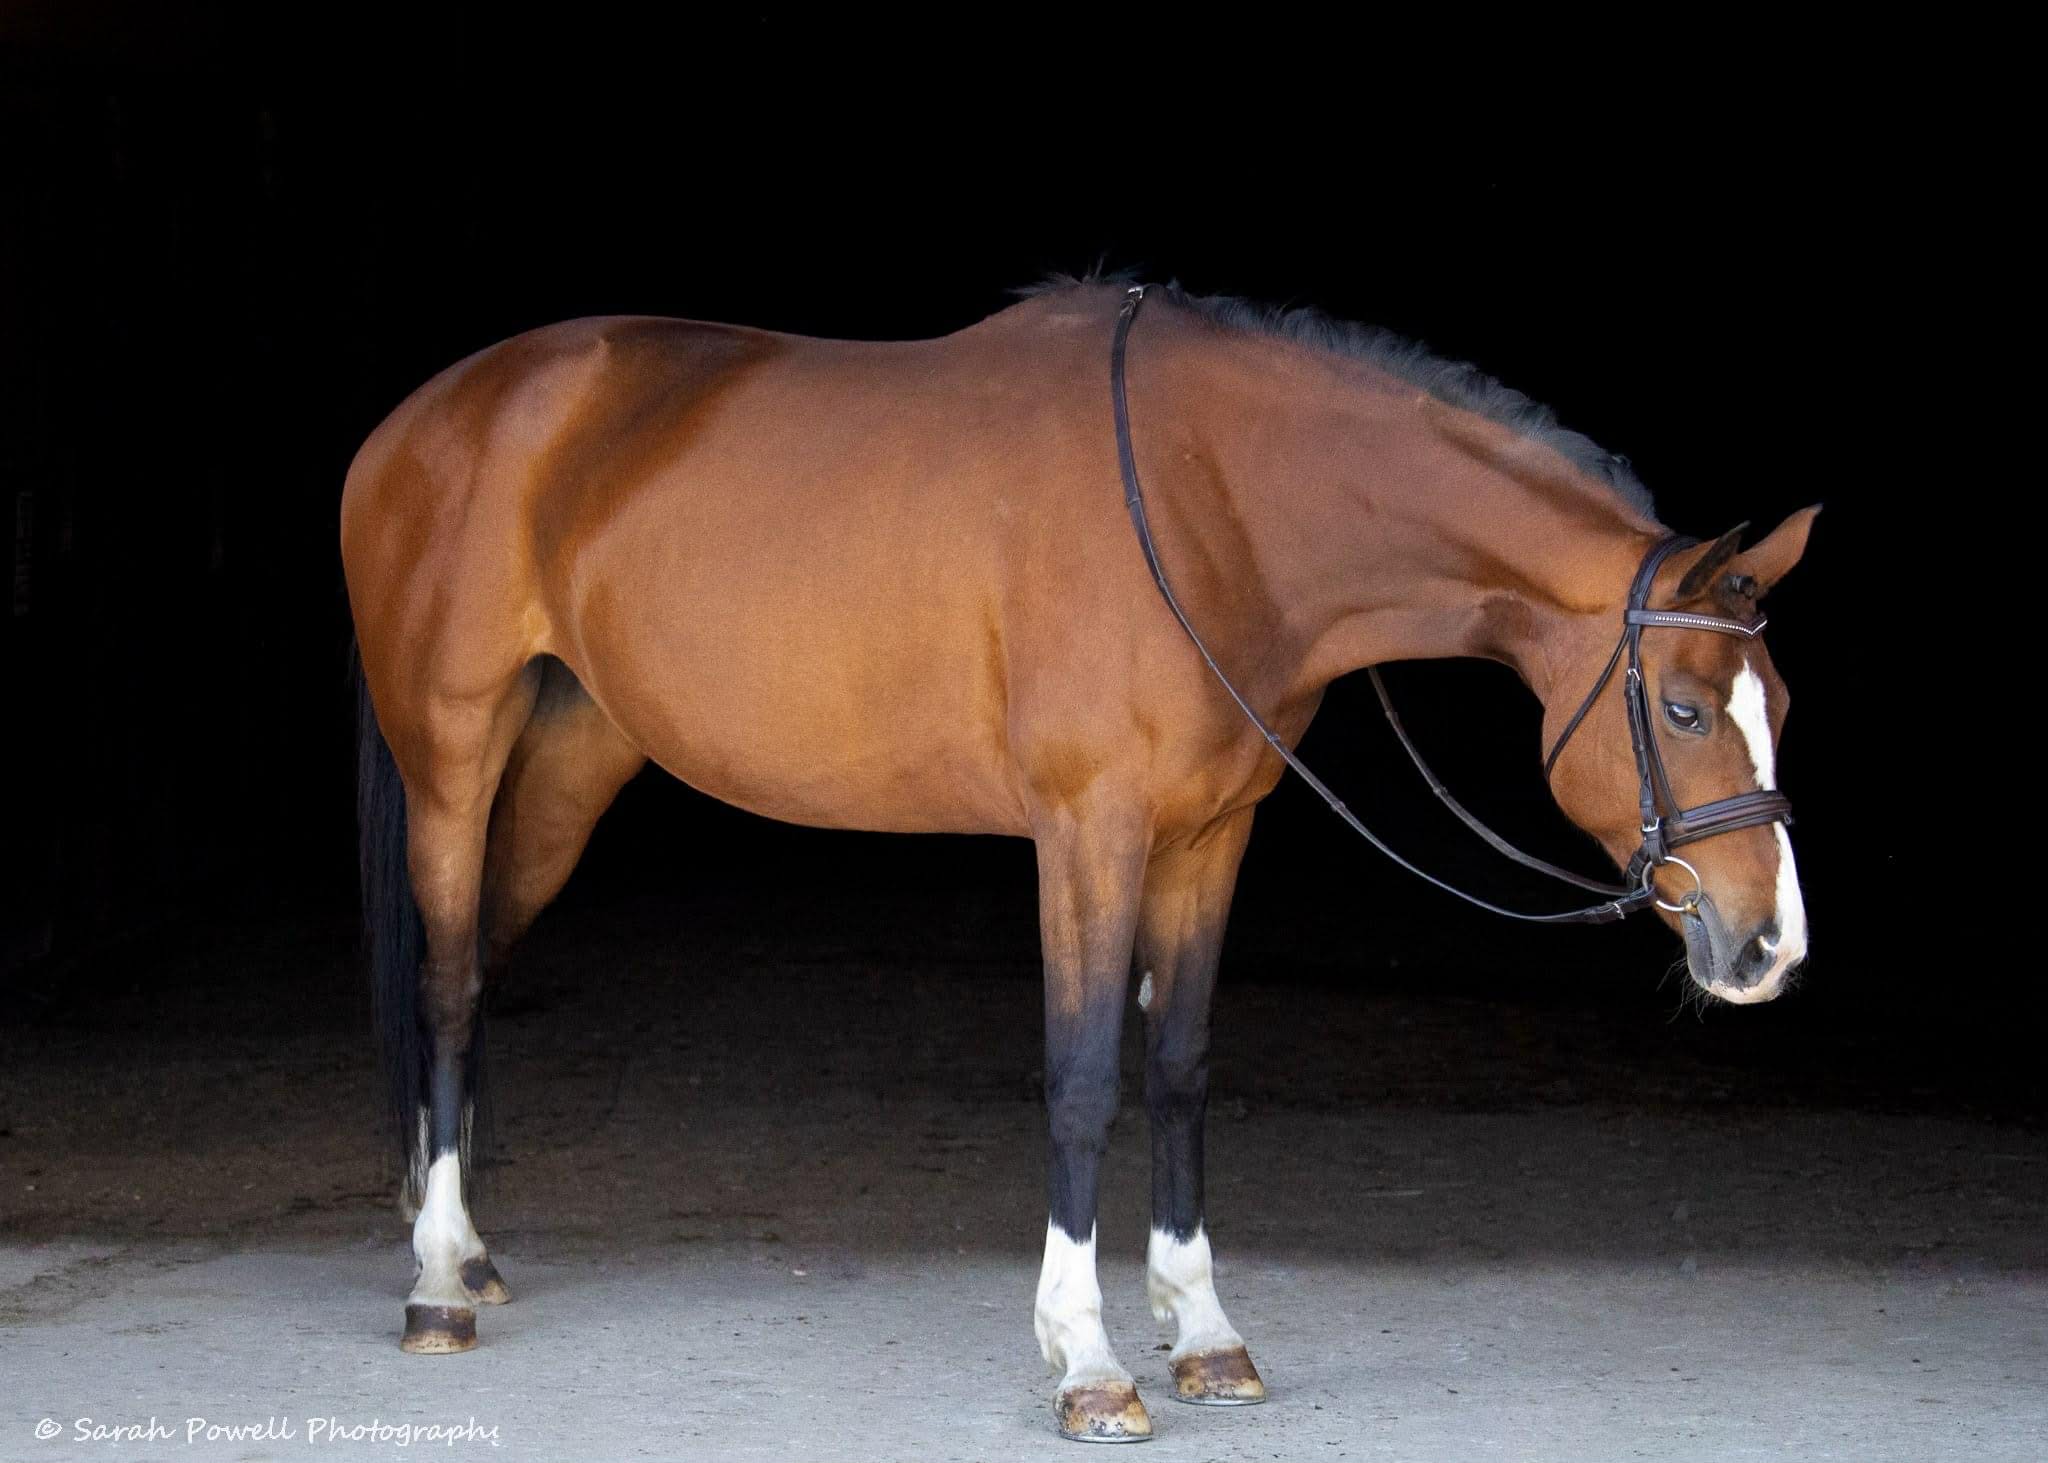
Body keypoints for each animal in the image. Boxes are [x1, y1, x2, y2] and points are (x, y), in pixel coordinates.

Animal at [342, 274, 1815, 1442]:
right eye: (1684, 707)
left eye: (1778, 703)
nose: (1767, 945)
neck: (1214, 503)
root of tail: (428, 418)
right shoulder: (1088, 831)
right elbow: (1083, 1074)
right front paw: (1090, 1358)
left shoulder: (1210, 836)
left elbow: (1177, 1069)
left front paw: (1204, 1331)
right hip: (454, 756)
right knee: (448, 988)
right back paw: (435, 1287)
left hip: (570, 765)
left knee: (477, 969)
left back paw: (465, 1250)